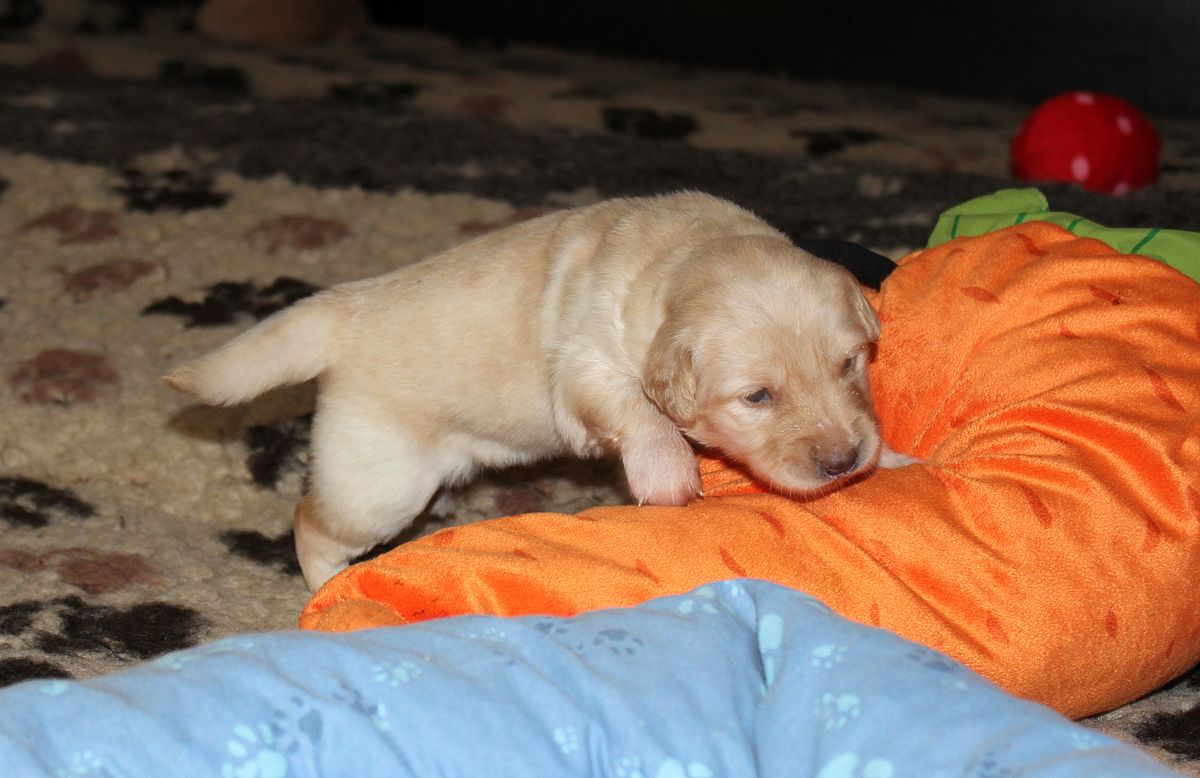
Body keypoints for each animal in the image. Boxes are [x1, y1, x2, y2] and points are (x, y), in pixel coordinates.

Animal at [167, 192, 916, 590]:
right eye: (757, 397)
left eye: (850, 364)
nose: (842, 461)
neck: (685, 254)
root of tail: (344, 306)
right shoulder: (583, 365)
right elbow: (638, 410)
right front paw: (669, 472)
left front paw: (895, 458)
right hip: (377, 482)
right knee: (312, 522)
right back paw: (326, 589)